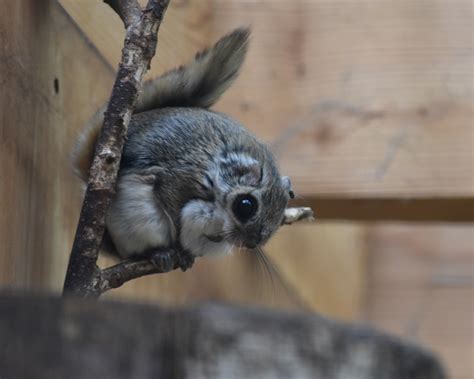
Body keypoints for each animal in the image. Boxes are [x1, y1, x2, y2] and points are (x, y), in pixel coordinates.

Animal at [74, 29, 308, 274]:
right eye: (246, 206)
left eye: (284, 205)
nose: (252, 243)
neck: (218, 166)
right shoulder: (180, 178)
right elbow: (173, 213)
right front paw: (178, 246)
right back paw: (158, 254)